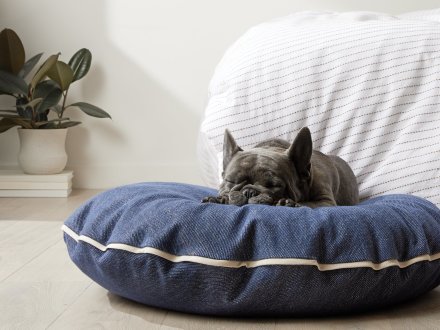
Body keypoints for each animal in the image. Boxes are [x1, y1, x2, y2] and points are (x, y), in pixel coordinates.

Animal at [203, 127, 358, 208]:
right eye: (231, 181)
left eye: (274, 185)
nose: (248, 192)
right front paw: (219, 198)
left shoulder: (325, 201)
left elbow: (308, 203)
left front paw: (287, 202)